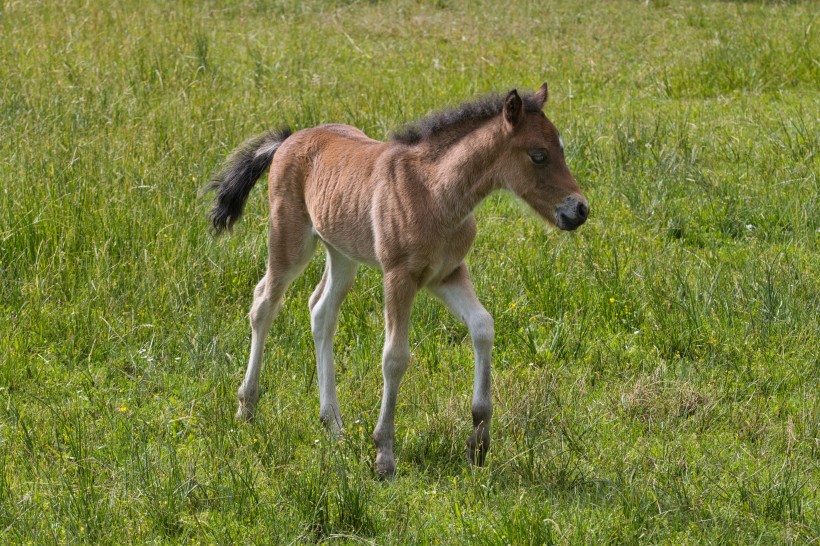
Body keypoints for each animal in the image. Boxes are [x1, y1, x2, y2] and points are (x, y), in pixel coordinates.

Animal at [208, 82, 588, 476]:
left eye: (561, 149)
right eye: (539, 155)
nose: (579, 210)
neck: (435, 192)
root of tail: (289, 138)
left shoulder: (447, 274)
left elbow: (483, 326)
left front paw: (479, 442)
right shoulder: (399, 277)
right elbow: (395, 357)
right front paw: (384, 455)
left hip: (342, 252)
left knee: (321, 311)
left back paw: (333, 426)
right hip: (290, 240)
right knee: (264, 303)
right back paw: (247, 407)